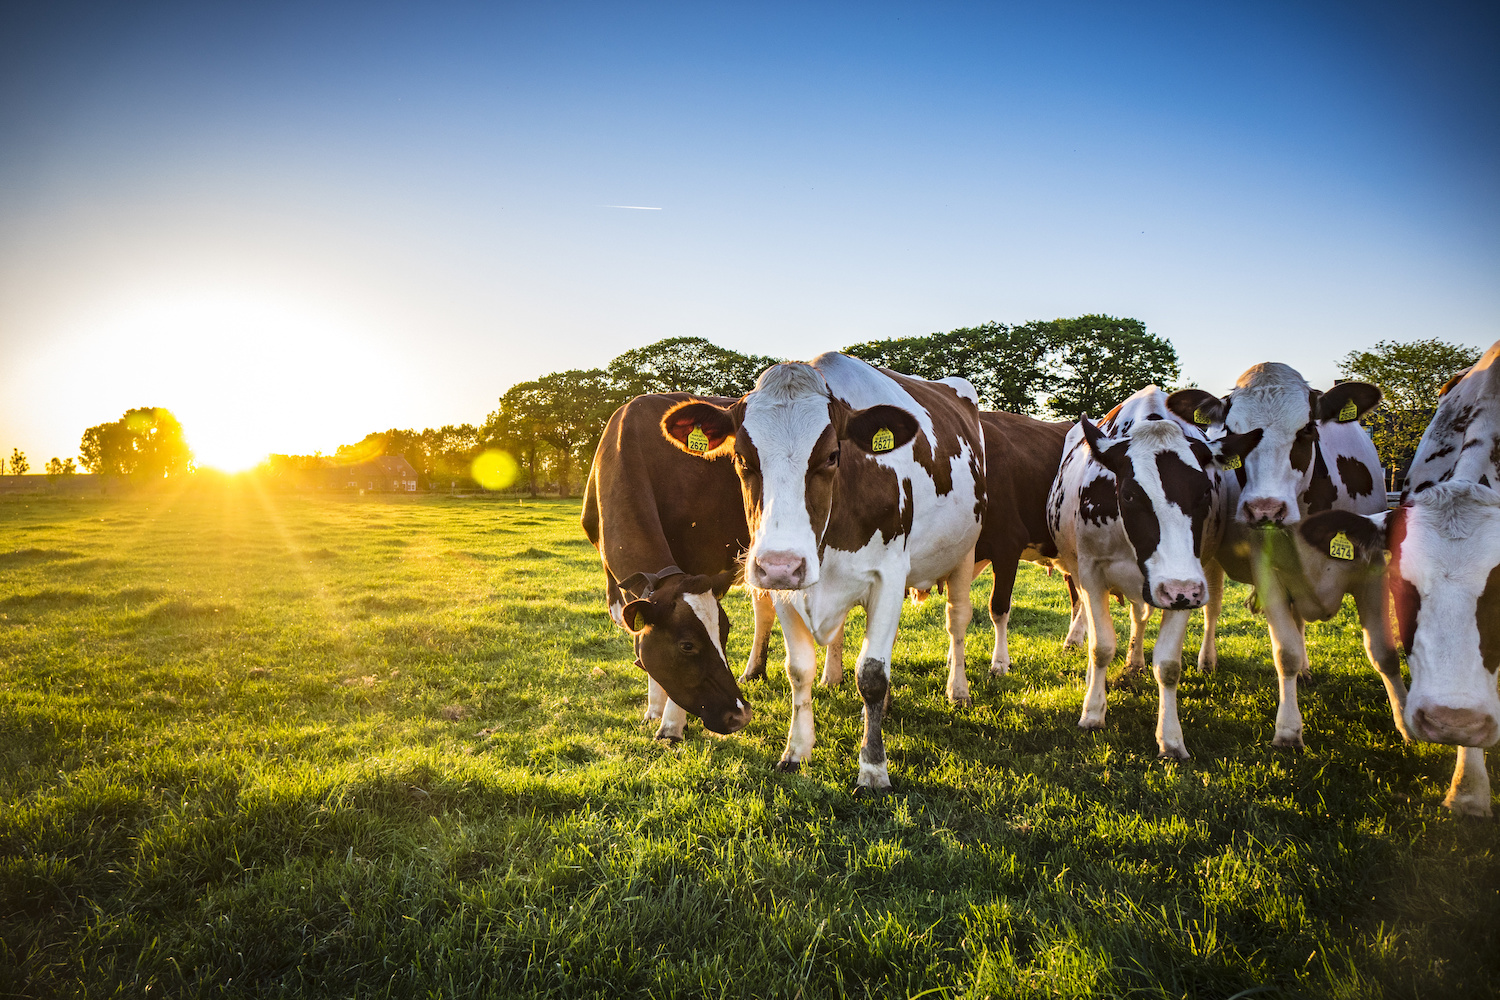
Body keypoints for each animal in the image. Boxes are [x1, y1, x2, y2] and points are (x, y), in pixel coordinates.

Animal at [582, 393, 769, 741]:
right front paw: (653, 710)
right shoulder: (619, 584)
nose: (740, 715)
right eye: (687, 646)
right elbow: (640, 636)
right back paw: (754, 672)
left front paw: (671, 726)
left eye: (725, 634)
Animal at [659, 353, 987, 791]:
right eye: (742, 459)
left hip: (965, 553)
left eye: (832, 455)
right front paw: (796, 751)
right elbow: (799, 671)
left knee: (957, 620)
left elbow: (872, 674)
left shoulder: (889, 576)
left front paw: (873, 768)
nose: (781, 564)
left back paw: (957, 689)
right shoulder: (786, 589)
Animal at [1046, 387, 1232, 758]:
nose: (1179, 590)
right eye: (1130, 495)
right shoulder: (1091, 572)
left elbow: (1169, 664)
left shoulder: (1184, 584)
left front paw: (1171, 739)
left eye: (1204, 492)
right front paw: (1093, 712)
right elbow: (1101, 646)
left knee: (1197, 611)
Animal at [1167, 364, 1403, 749]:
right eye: (1232, 432)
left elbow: (1384, 652)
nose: (1265, 509)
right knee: (1213, 608)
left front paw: (1406, 725)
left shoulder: (1373, 570)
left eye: (1307, 430)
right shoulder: (1267, 573)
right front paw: (1289, 730)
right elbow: (1285, 653)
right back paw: (1207, 660)